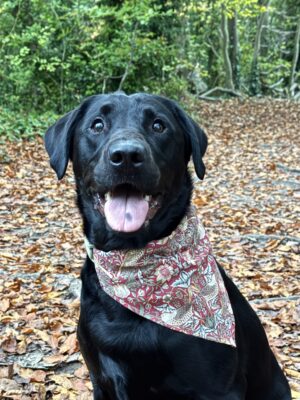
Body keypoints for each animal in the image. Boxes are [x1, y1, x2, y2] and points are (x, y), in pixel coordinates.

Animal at [45, 92, 292, 398]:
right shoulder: (101, 380)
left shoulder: (220, 388)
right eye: (97, 124)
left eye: (158, 125)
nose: (127, 156)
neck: (133, 264)